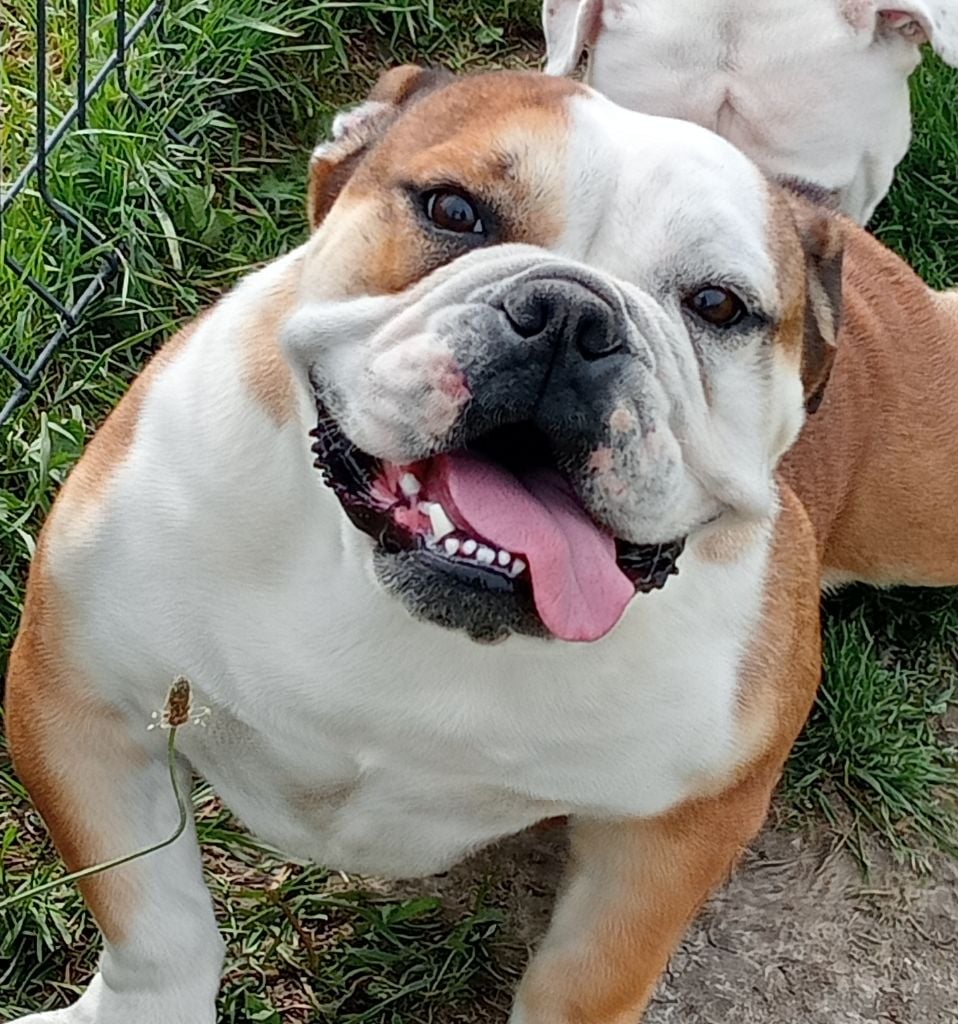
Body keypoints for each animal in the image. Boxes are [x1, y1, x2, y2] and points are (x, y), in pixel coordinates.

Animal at [6, 67, 836, 1023]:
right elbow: (156, 926)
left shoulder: (684, 826)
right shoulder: (79, 703)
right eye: (452, 209)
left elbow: (590, 977)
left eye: (717, 305)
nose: (570, 315)